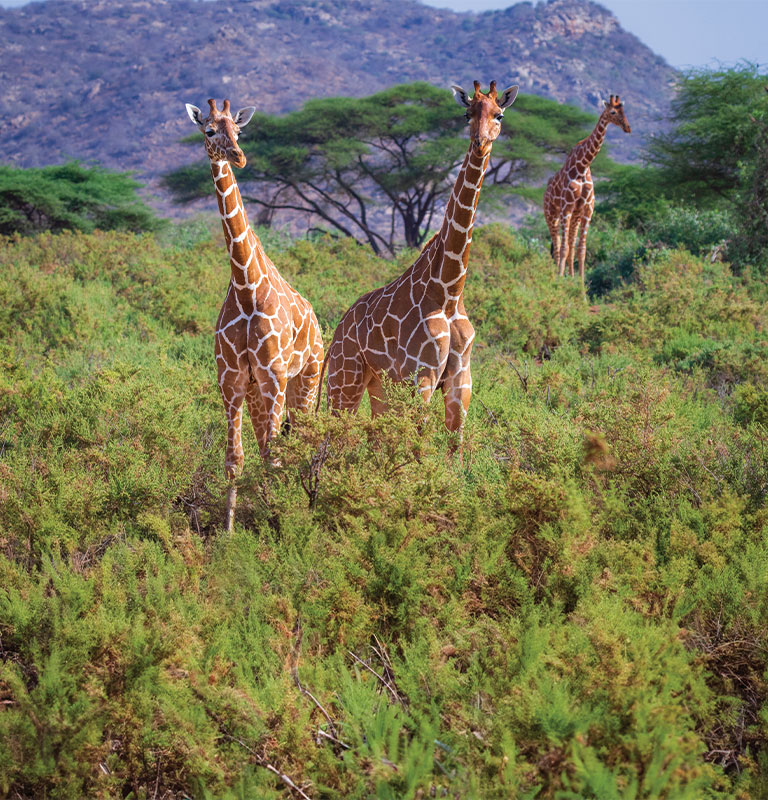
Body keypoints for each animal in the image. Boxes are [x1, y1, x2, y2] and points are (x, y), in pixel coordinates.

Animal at [185, 99, 323, 531]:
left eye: (239, 130)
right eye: (209, 130)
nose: (239, 156)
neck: (246, 290)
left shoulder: (274, 375)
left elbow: (272, 456)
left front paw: (275, 523)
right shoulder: (230, 379)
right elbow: (236, 460)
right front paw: (230, 531)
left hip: (305, 381)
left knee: (298, 442)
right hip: (257, 390)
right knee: (266, 443)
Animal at [317, 81, 518, 445]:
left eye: (499, 114)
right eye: (467, 113)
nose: (480, 142)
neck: (448, 291)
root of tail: (336, 332)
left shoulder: (460, 379)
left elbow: (454, 443)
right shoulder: (421, 376)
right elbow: (418, 444)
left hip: (380, 387)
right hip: (344, 379)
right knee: (333, 437)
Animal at [544, 95, 631, 282]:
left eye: (624, 111)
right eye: (613, 112)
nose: (628, 128)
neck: (583, 166)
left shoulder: (587, 210)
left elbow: (581, 249)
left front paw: (581, 284)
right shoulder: (567, 208)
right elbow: (563, 248)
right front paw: (559, 281)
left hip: (573, 216)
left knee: (569, 244)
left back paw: (569, 276)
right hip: (551, 215)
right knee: (557, 246)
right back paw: (555, 277)